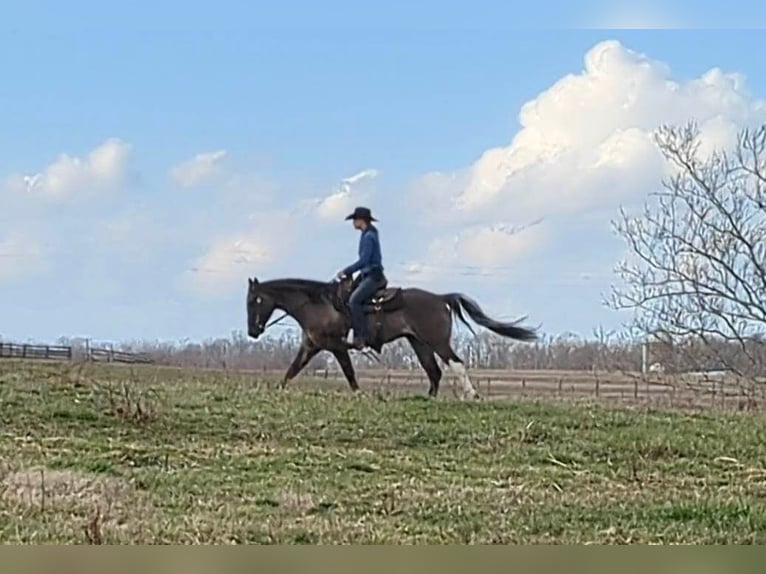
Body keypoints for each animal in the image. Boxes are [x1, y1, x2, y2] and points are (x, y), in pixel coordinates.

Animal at [249, 276, 536, 398]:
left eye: (254, 300)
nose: (253, 331)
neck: (317, 305)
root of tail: (441, 298)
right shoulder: (310, 346)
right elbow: (291, 371)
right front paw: (276, 391)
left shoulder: (335, 347)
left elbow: (349, 373)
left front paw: (359, 394)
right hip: (419, 343)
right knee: (434, 371)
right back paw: (428, 398)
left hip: (437, 342)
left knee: (455, 364)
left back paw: (472, 395)